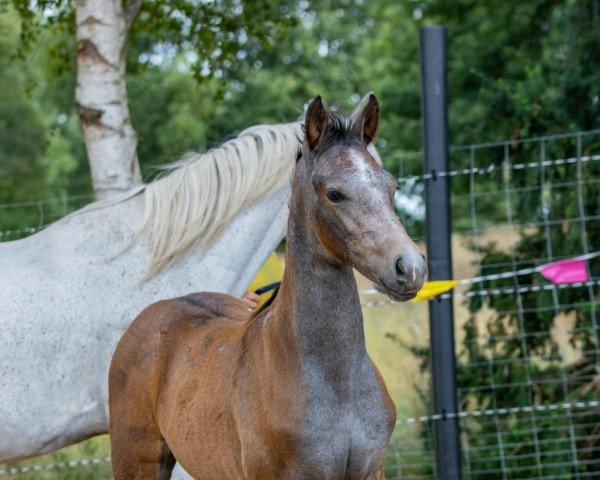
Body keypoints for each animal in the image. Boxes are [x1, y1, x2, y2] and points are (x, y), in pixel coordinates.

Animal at [108, 94, 426, 480]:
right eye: (335, 193)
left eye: (391, 186)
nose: (409, 267)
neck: (337, 386)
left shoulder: (370, 470)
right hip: (136, 460)